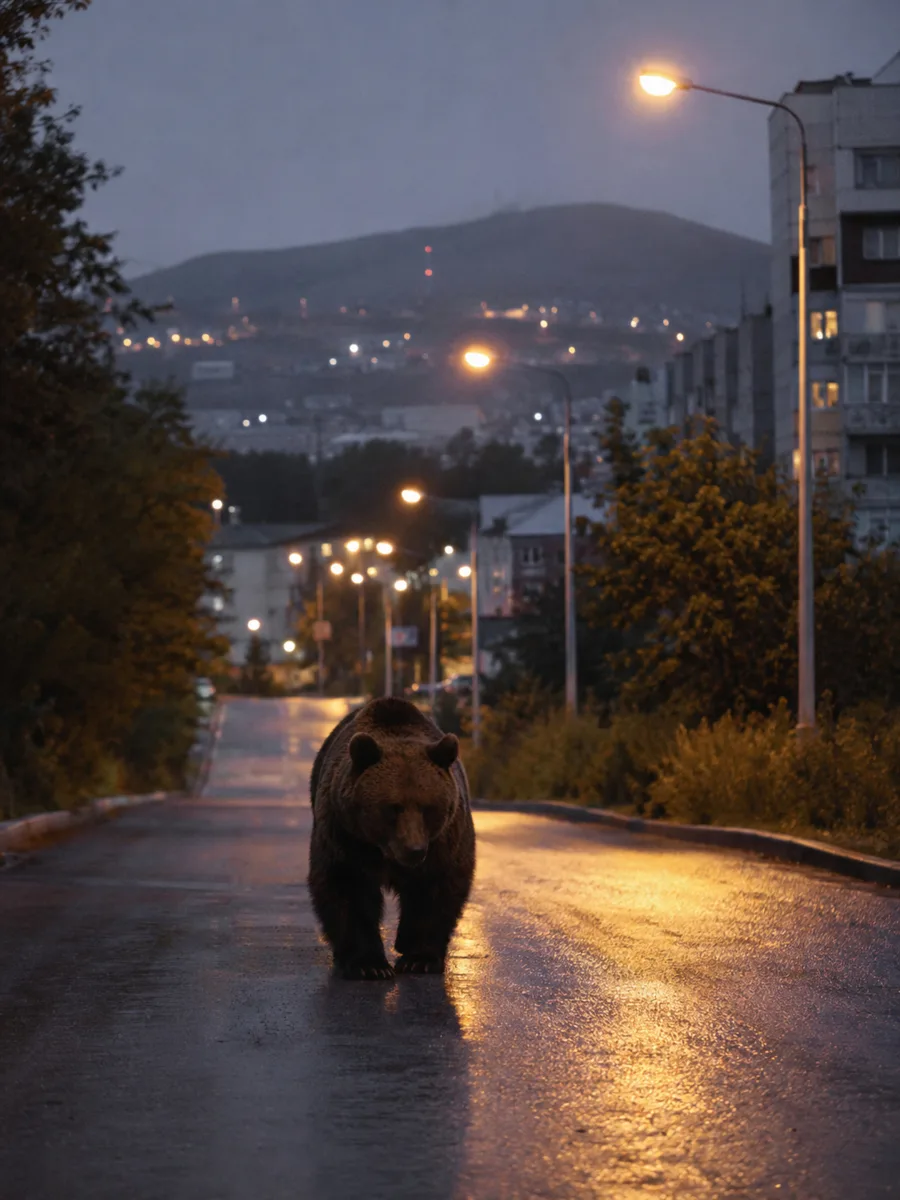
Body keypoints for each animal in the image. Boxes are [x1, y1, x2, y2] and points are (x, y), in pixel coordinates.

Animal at [308, 696, 476, 980]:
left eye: (428, 807)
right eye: (393, 807)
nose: (414, 849)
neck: (383, 851)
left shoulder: (443, 842)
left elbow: (435, 889)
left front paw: (419, 959)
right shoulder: (345, 837)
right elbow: (348, 887)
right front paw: (369, 964)